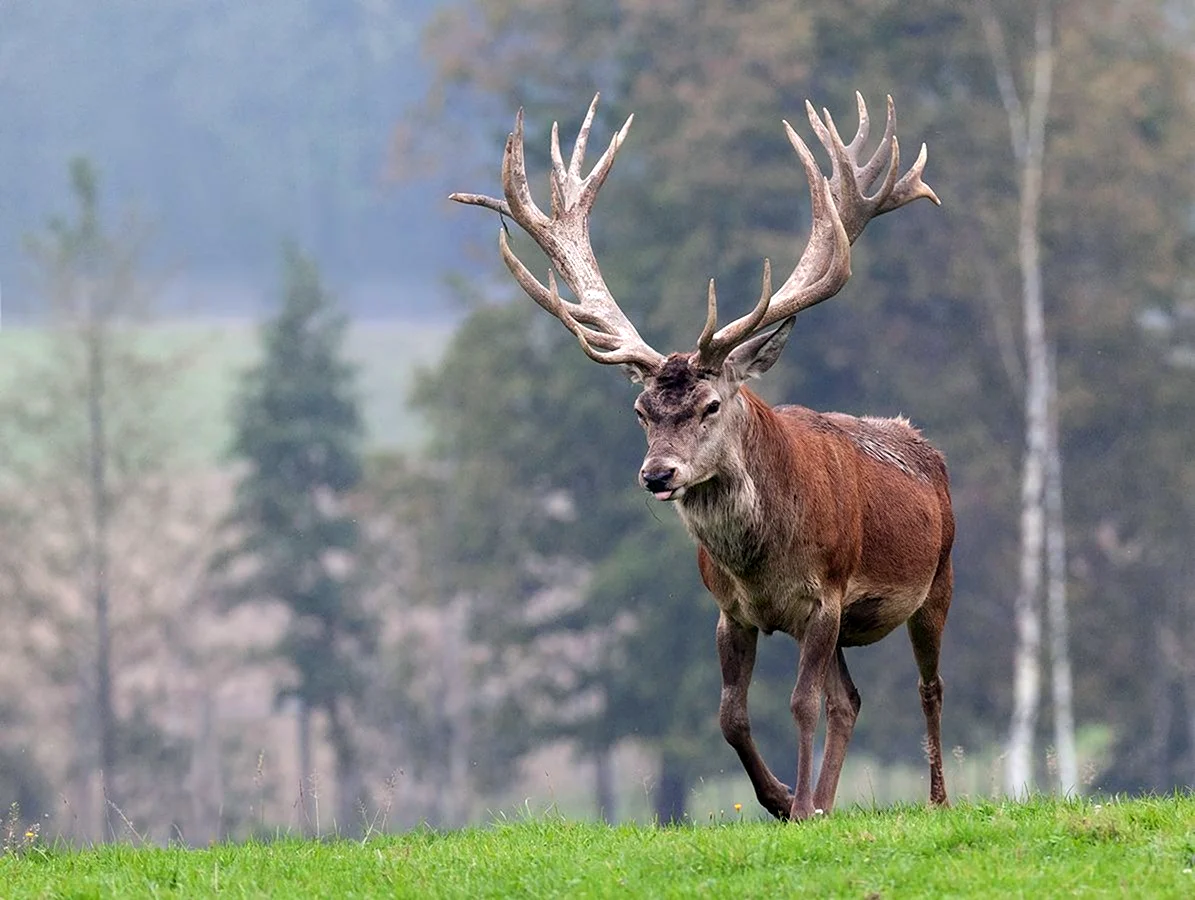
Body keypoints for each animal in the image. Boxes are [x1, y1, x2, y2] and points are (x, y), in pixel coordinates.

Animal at [449, 93, 951, 822]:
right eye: (641, 411)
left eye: (711, 406)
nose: (657, 473)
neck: (761, 565)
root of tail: (925, 447)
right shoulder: (729, 611)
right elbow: (730, 716)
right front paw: (782, 799)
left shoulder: (824, 596)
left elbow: (800, 705)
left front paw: (797, 802)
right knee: (850, 700)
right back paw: (826, 801)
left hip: (936, 581)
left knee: (927, 687)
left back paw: (935, 798)